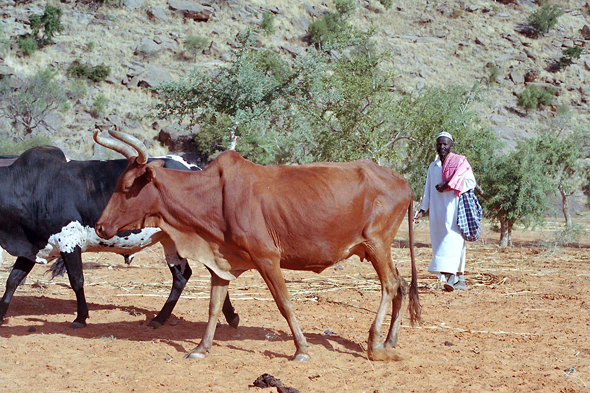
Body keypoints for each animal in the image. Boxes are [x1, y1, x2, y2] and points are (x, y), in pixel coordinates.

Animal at [0, 142, 240, 326]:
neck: (33, 186)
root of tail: (196, 168)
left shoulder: (69, 242)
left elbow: (77, 280)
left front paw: (80, 318)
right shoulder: (33, 247)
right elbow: (13, 280)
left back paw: (229, 316)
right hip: (170, 241)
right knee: (182, 276)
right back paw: (161, 319)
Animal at [96, 130, 420, 360]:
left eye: (127, 186)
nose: (100, 226)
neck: (212, 195)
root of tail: (403, 182)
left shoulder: (267, 259)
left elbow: (284, 303)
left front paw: (301, 349)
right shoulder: (220, 263)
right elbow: (214, 307)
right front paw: (201, 348)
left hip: (377, 244)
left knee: (390, 285)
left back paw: (375, 342)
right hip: (377, 249)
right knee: (402, 284)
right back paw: (390, 340)